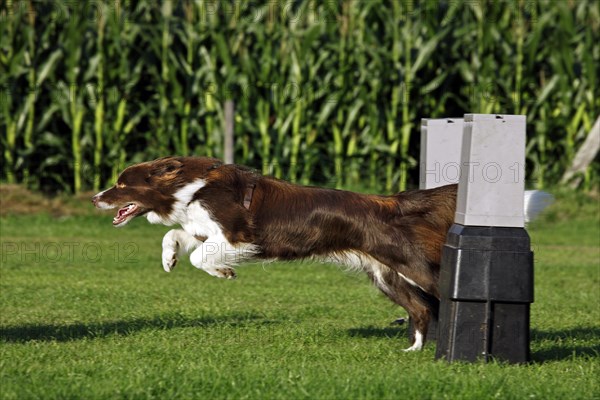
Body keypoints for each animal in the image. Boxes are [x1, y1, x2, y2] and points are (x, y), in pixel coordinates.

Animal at [92, 156, 548, 350]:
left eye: (122, 183)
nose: (96, 197)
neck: (190, 186)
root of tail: (392, 203)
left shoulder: (236, 235)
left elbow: (199, 256)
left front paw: (223, 273)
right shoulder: (204, 229)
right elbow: (176, 238)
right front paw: (169, 259)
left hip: (412, 267)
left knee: (438, 297)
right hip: (386, 276)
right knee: (421, 310)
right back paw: (415, 351)